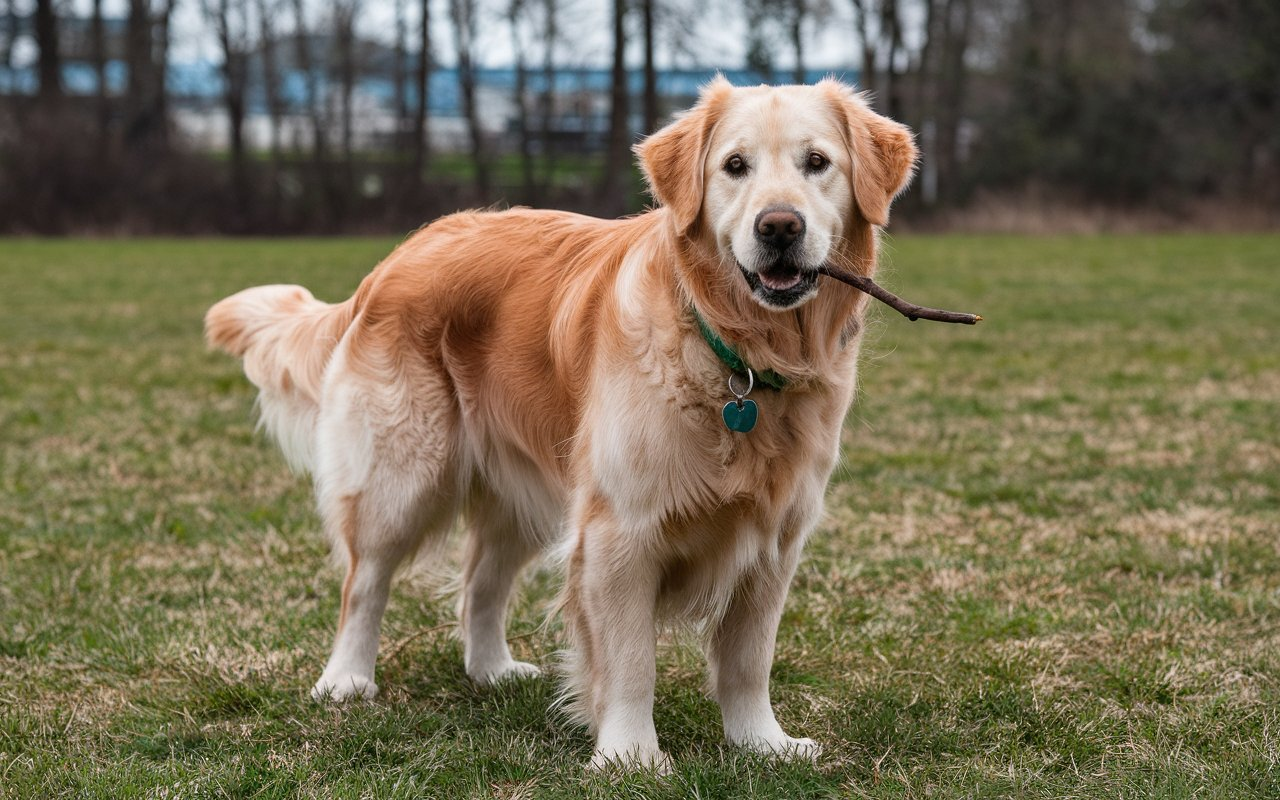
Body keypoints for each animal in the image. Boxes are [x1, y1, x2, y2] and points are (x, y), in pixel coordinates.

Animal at [207, 76, 911, 768]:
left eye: (817, 163)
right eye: (734, 166)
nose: (779, 226)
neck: (737, 355)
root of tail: (398, 257)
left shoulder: (773, 540)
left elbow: (748, 661)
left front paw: (762, 744)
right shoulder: (618, 532)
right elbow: (630, 662)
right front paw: (630, 756)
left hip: (524, 491)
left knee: (480, 583)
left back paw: (492, 671)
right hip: (402, 474)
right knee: (365, 580)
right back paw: (347, 680)